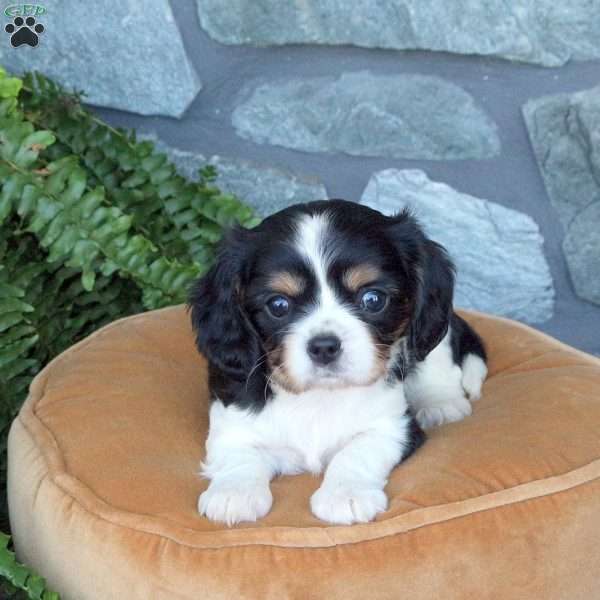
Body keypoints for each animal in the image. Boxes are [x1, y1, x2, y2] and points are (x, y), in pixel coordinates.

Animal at [190, 200, 486, 524]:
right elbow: (240, 454)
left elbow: (357, 451)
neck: (320, 397)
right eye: (278, 305)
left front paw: (345, 495)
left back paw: (441, 404)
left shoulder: (395, 427)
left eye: (373, 299)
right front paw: (233, 493)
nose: (324, 347)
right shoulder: (230, 423)